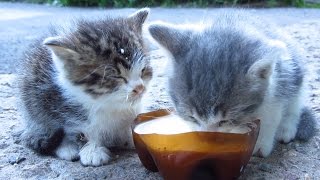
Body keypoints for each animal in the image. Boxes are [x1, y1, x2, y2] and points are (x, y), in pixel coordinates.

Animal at [17, 8, 152, 166]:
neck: (111, 104)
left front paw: (133, 137)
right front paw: (92, 149)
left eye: (143, 70)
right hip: (34, 103)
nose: (140, 88)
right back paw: (67, 148)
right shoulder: (62, 104)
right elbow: (85, 129)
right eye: (116, 76)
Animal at [149, 9, 316, 158]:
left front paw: (261, 144)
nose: (207, 140)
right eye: (192, 117)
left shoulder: (277, 83)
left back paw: (287, 127)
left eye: (224, 121)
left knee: (295, 102)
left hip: (295, 70)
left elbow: (270, 115)